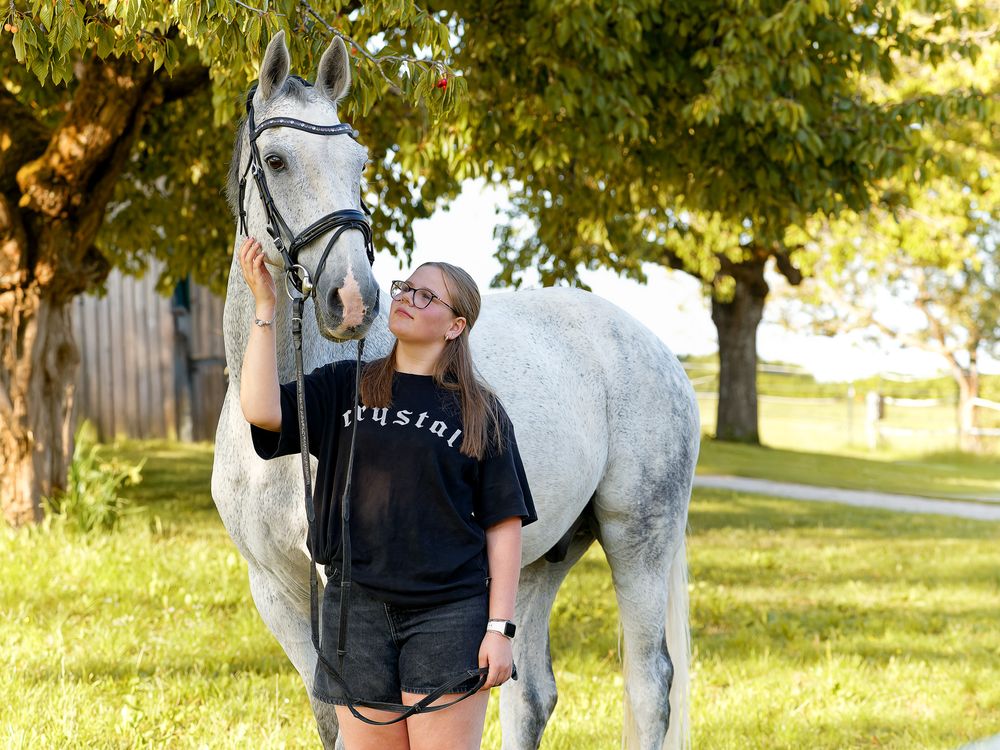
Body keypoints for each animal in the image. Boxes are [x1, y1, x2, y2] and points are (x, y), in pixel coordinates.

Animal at [212, 31, 699, 750]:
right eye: (275, 160)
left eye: (360, 161)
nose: (354, 299)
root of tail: (659, 353)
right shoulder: (274, 590)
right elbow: (331, 718)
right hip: (538, 557)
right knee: (530, 694)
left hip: (639, 536)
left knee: (649, 684)